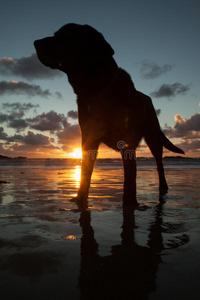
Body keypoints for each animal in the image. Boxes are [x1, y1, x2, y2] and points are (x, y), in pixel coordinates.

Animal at [33, 23, 184, 205]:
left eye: (65, 34)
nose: (35, 42)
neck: (97, 89)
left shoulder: (127, 143)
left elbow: (129, 181)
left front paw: (129, 204)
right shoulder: (89, 139)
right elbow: (85, 174)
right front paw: (80, 198)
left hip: (153, 136)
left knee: (159, 163)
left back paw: (163, 188)